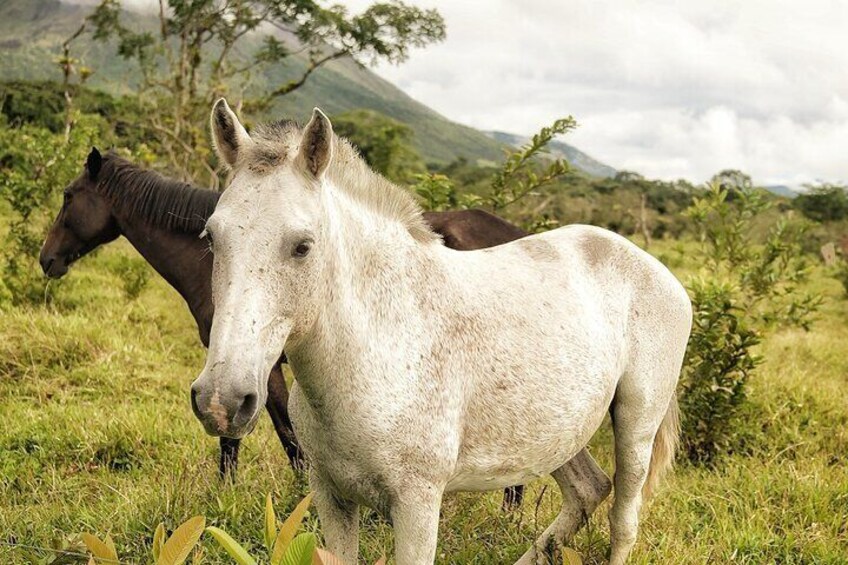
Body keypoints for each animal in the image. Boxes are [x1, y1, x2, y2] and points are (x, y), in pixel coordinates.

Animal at [191, 100, 691, 564]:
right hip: (559, 430)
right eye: (211, 237)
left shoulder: (417, 505)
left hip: (636, 424)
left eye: (302, 246)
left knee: (623, 521)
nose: (221, 400)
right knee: (588, 489)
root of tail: (657, 270)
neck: (378, 347)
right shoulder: (331, 496)